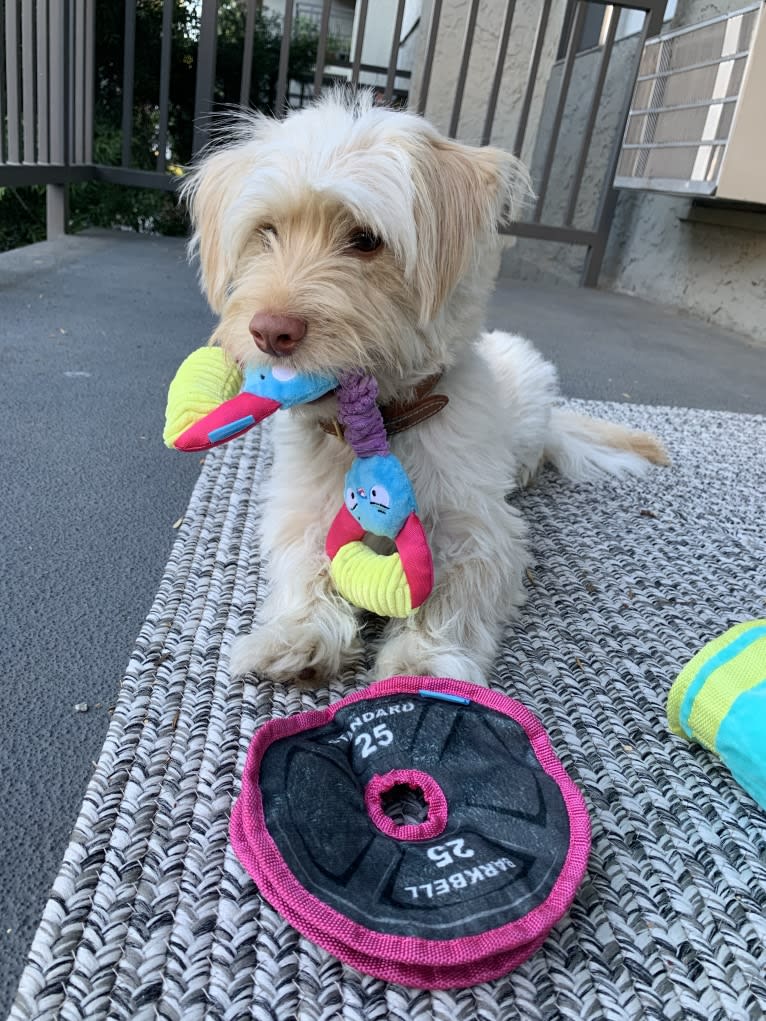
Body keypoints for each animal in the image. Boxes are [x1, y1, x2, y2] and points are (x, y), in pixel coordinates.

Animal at [181, 91, 665, 690]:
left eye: (366, 240)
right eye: (266, 232)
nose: (270, 332)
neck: (382, 427)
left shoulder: (478, 526)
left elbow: (456, 589)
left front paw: (424, 662)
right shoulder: (300, 509)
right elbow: (304, 564)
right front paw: (296, 635)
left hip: (531, 392)